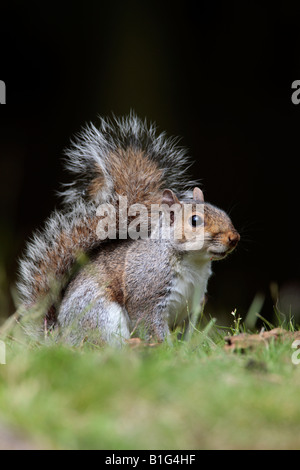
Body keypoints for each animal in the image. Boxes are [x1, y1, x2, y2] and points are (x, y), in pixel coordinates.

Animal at [18, 114, 239, 346]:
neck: (194, 264)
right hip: (101, 316)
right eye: (195, 220)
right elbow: (151, 325)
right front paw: (164, 348)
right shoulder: (147, 295)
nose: (234, 238)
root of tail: (60, 338)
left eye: (223, 212)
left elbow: (187, 334)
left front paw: (186, 349)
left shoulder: (193, 306)